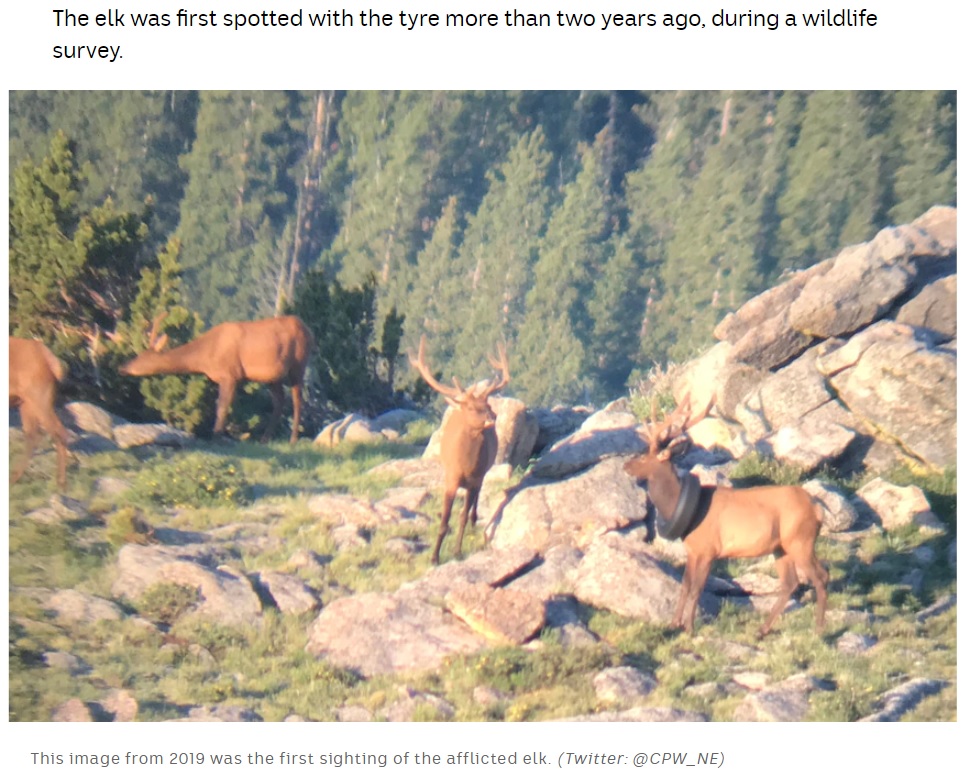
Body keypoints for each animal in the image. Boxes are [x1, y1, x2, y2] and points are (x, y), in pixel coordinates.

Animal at [119, 310, 316, 442]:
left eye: (140, 357)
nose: (122, 367)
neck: (206, 356)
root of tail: (308, 329)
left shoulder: (230, 374)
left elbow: (222, 406)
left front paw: (217, 435)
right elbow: (220, 405)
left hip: (298, 363)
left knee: (297, 399)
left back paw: (293, 439)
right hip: (272, 376)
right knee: (280, 401)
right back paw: (265, 439)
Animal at [408, 336, 512, 568]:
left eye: (487, 404)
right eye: (472, 408)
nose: (492, 418)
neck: (465, 465)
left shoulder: (475, 478)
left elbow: (462, 516)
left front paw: (457, 552)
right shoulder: (451, 478)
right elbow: (444, 520)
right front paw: (434, 557)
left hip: (482, 475)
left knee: (475, 501)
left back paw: (474, 521)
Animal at [624, 394, 828, 636]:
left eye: (645, 457)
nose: (626, 465)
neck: (686, 509)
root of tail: (816, 509)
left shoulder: (709, 550)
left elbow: (697, 588)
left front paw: (689, 628)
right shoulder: (693, 550)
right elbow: (685, 586)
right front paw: (674, 624)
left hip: (800, 540)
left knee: (821, 576)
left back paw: (818, 630)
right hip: (781, 547)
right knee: (791, 583)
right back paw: (762, 630)